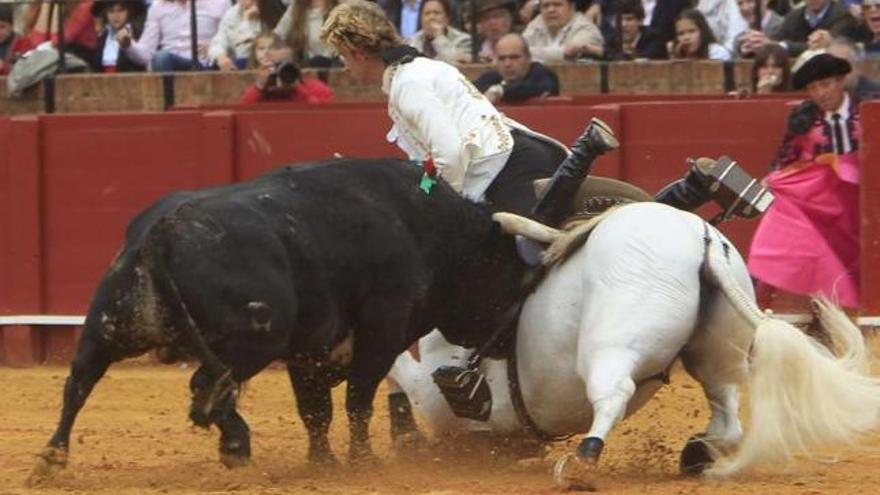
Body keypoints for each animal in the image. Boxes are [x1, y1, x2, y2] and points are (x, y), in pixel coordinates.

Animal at [37, 159, 524, 472]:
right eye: (505, 270)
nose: (508, 339)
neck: (426, 227)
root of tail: (162, 231)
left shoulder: (307, 350)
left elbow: (314, 409)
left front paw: (323, 463)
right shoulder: (381, 330)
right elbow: (356, 400)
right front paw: (362, 462)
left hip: (108, 327)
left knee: (79, 382)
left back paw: (52, 458)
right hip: (253, 341)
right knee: (207, 388)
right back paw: (236, 444)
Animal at [388, 203, 880, 490]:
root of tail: (701, 241)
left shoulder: (441, 402)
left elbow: (400, 368)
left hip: (611, 344)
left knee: (613, 394)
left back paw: (582, 463)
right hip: (715, 351)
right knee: (727, 411)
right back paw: (698, 453)